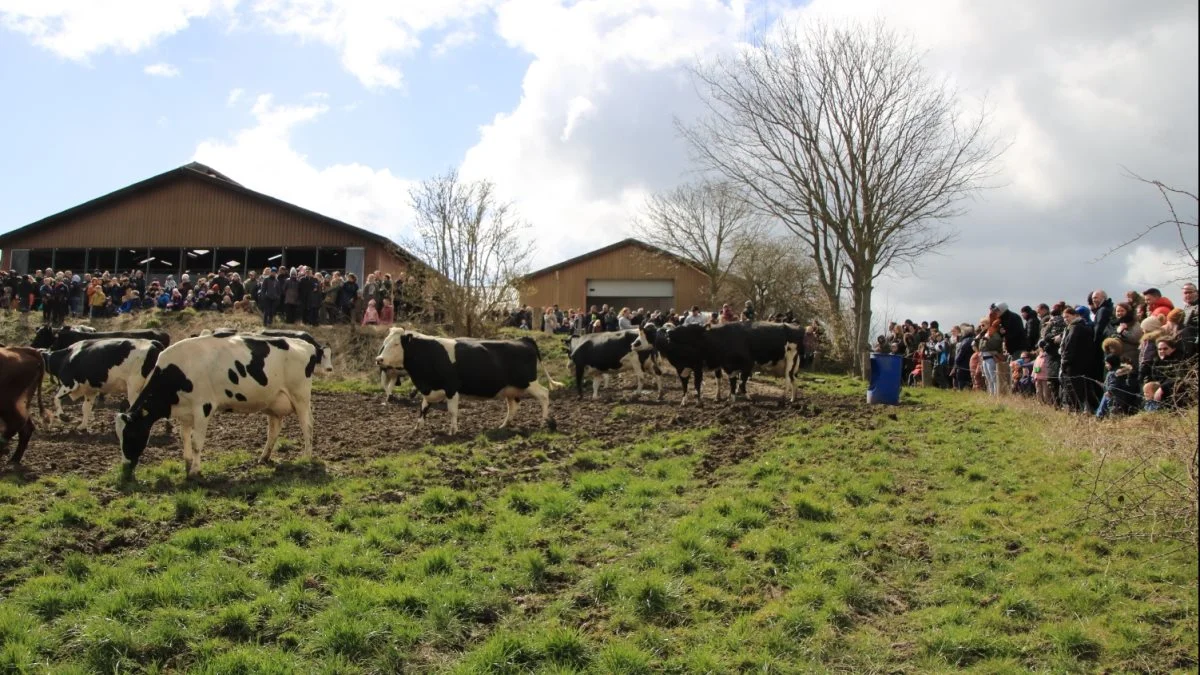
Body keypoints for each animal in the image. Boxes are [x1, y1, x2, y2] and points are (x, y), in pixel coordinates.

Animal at [115, 333, 319, 475]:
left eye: (130, 434)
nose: (125, 467)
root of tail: (305, 345)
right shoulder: (185, 412)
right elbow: (184, 437)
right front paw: (187, 462)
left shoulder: (203, 407)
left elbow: (197, 442)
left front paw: (195, 470)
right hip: (273, 402)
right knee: (274, 429)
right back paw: (264, 457)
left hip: (300, 397)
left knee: (307, 426)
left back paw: (307, 457)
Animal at [374, 326, 561, 432]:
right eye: (385, 342)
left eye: (396, 344)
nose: (379, 359)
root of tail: (524, 339)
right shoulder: (429, 390)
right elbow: (423, 409)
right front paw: (416, 429)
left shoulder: (451, 388)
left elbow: (452, 411)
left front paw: (453, 431)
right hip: (510, 388)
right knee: (513, 406)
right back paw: (503, 426)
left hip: (528, 381)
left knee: (544, 394)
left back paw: (544, 422)